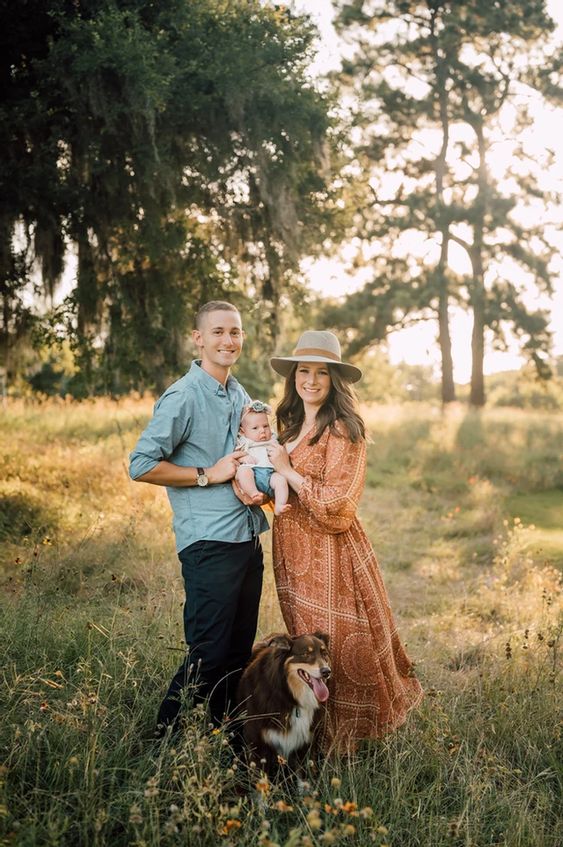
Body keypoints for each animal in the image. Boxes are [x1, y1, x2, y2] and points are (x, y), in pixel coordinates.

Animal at [237, 628, 332, 776]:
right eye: (306, 654)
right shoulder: (257, 744)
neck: (288, 696)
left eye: (324, 653)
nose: (326, 672)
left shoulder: (305, 745)